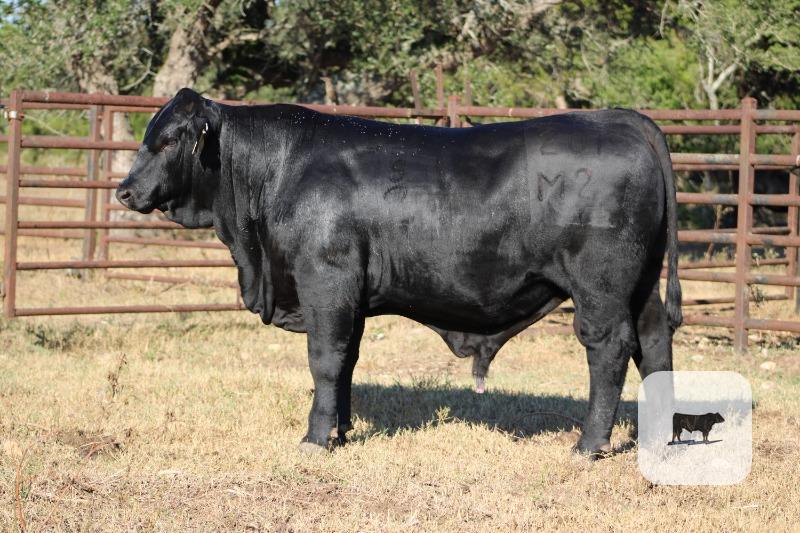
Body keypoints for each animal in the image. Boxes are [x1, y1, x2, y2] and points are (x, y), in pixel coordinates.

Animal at [116, 88, 682, 457]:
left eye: (167, 141)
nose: (124, 190)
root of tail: (618, 119)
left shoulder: (325, 281)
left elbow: (325, 360)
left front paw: (315, 439)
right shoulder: (351, 297)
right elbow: (347, 361)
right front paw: (341, 430)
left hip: (600, 288)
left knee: (610, 349)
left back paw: (589, 445)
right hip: (641, 286)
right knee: (654, 344)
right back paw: (660, 437)